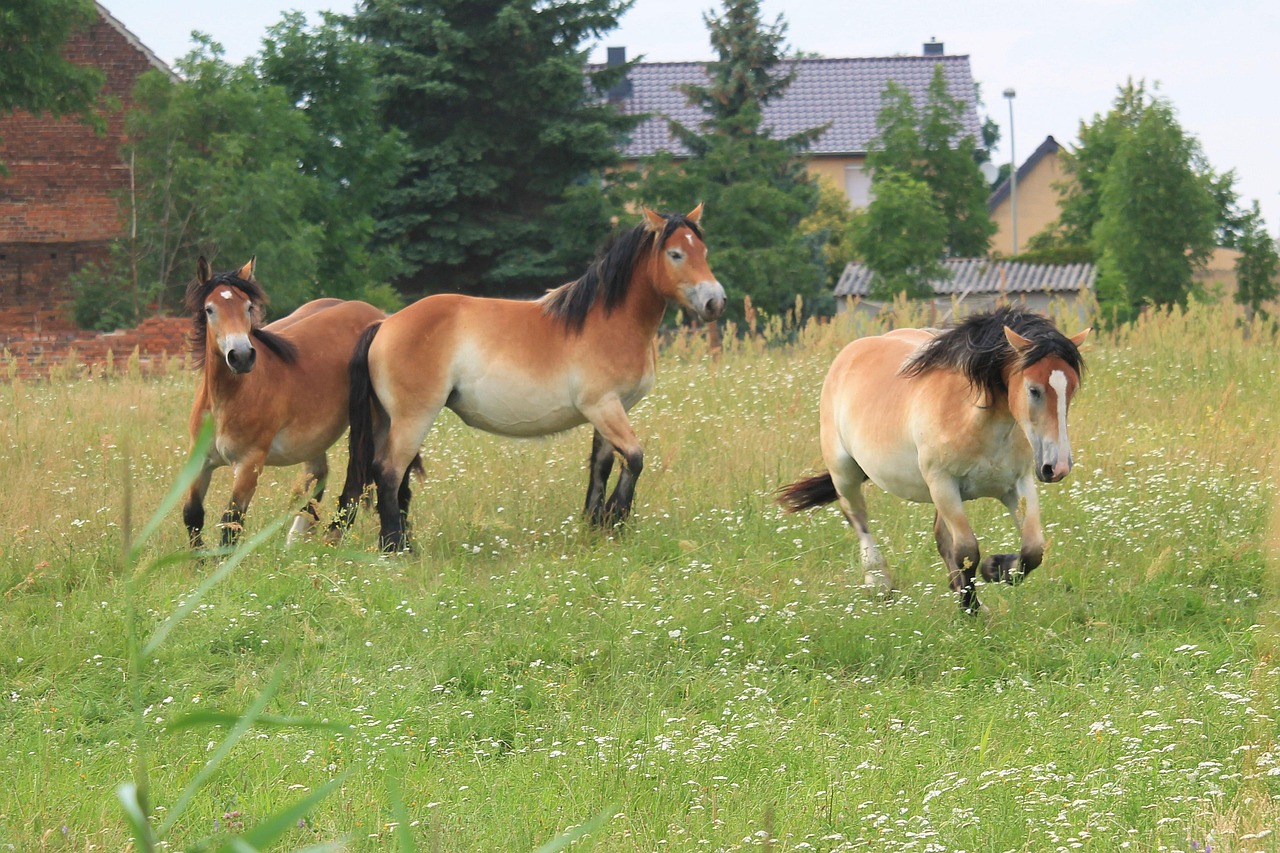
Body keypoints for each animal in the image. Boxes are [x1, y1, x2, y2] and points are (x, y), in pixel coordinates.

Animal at [181, 256, 384, 545]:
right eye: (209, 309)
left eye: (248, 306)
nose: (241, 356)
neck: (226, 399)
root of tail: (380, 316)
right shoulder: (200, 460)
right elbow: (193, 514)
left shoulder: (249, 464)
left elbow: (231, 523)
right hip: (314, 438)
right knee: (316, 478)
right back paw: (295, 540)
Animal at [330, 206, 727, 550]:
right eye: (676, 254)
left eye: (704, 250)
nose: (715, 302)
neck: (609, 322)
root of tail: (384, 324)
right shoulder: (604, 407)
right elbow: (634, 458)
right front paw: (615, 518)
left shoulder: (611, 410)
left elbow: (602, 465)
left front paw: (594, 525)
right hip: (414, 418)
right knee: (389, 473)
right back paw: (396, 547)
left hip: (386, 419)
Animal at [773, 306, 1085, 612]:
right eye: (1034, 389)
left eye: (1071, 389)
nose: (1057, 467)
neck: (972, 418)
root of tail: (851, 352)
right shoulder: (943, 484)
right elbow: (967, 551)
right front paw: (972, 605)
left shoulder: (1017, 483)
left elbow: (1033, 549)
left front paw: (996, 569)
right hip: (844, 472)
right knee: (857, 516)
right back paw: (879, 581)